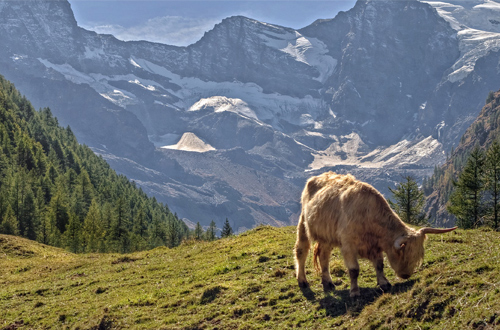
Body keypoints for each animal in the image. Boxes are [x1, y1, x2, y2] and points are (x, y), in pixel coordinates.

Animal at [292, 171, 458, 298]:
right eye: (403, 253)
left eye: (417, 255)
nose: (406, 275)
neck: (368, 215)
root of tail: (317, 177)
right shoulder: (348, 245)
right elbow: (354, 270)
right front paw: (355, 292)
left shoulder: (375, 246)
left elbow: (379, 265)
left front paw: (384, 283)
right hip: (303, 223)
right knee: (301, 250)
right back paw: (302, 281)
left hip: (326, 235)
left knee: (323, 256)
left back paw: (328, 283)